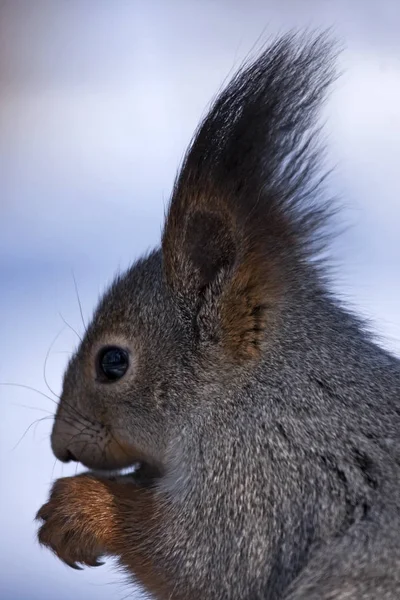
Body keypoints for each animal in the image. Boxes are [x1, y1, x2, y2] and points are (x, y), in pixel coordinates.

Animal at [36, 34, 400, 600]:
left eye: (112, 363)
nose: (60, 447)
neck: (257, 393)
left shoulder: (265, 481)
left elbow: (198, 560)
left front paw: (80, 508)